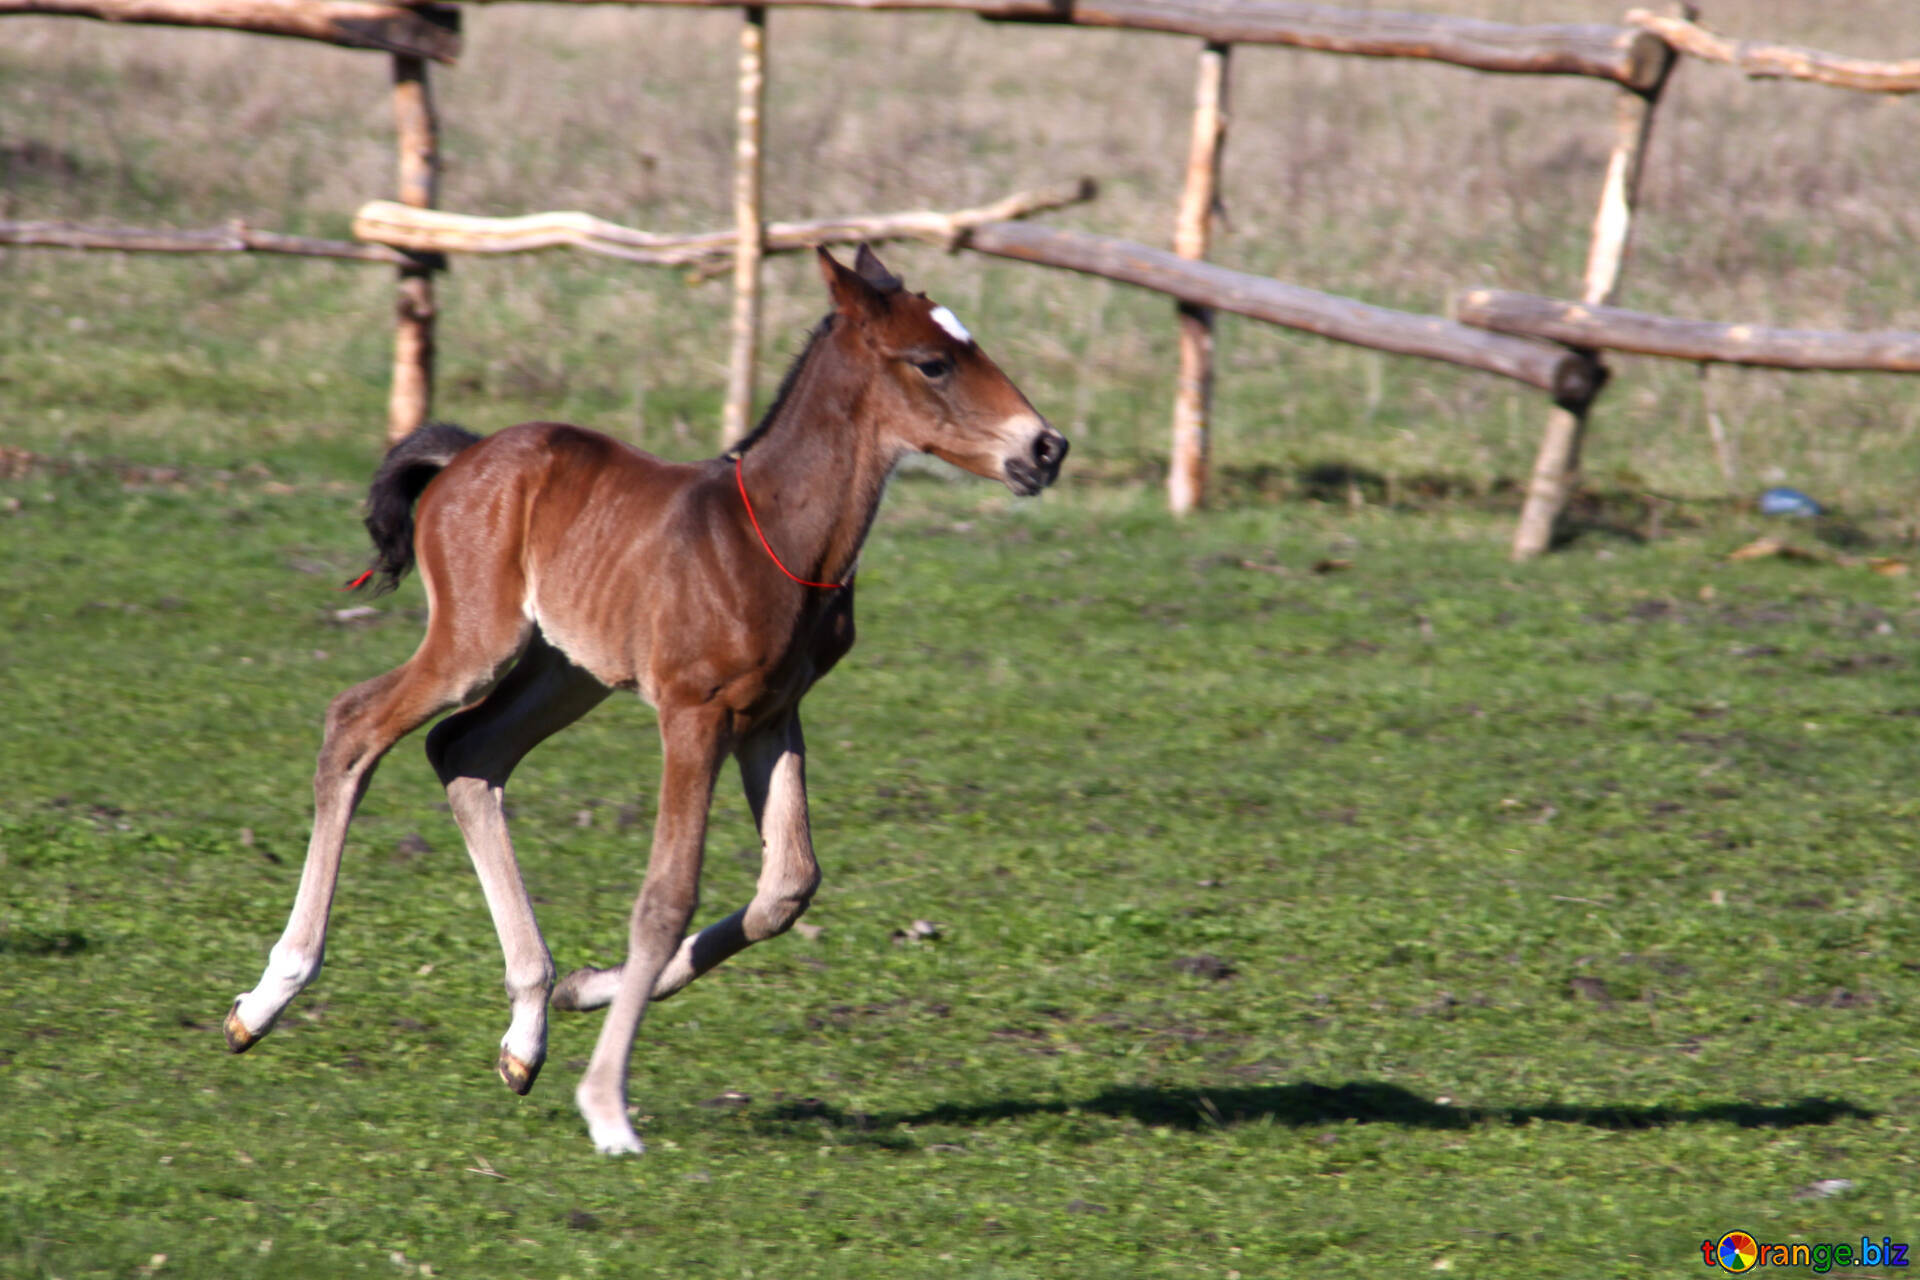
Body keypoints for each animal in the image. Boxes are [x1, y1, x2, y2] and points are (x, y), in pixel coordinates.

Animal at [226, 245, 1075, 1159]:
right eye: (933, 362)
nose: (1047, 447)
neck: (776, 538)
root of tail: (466, 455)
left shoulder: (772, 715)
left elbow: (787, 886)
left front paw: (586, 988)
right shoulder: (693, 714)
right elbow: (666, 897)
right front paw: (607, 1107)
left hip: (568, 671)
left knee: (466, 752)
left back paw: (529, 1024)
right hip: (475, 642)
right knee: (356, 724)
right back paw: (267, 999)